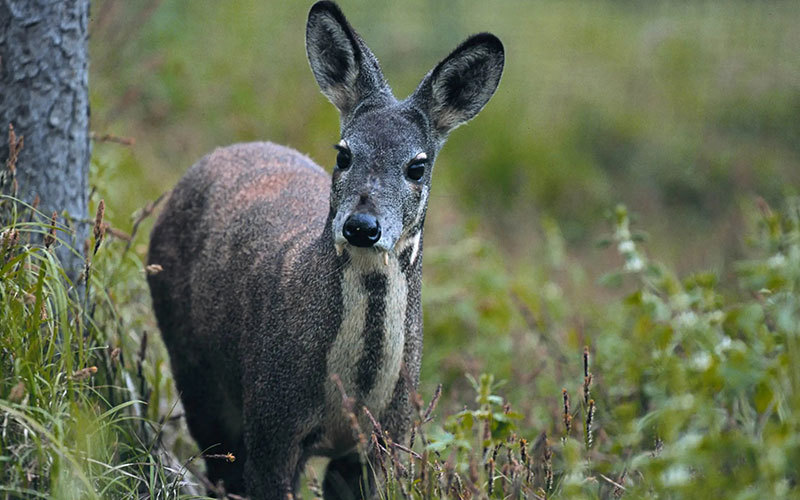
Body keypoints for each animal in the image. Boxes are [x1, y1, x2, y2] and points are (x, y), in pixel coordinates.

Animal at [147, 1, 504, 498]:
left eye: (417, 166)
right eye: (343, 153)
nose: (362, 226)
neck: (352, 393)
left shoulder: (385, 439)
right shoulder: (272, 420)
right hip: (194, 369)